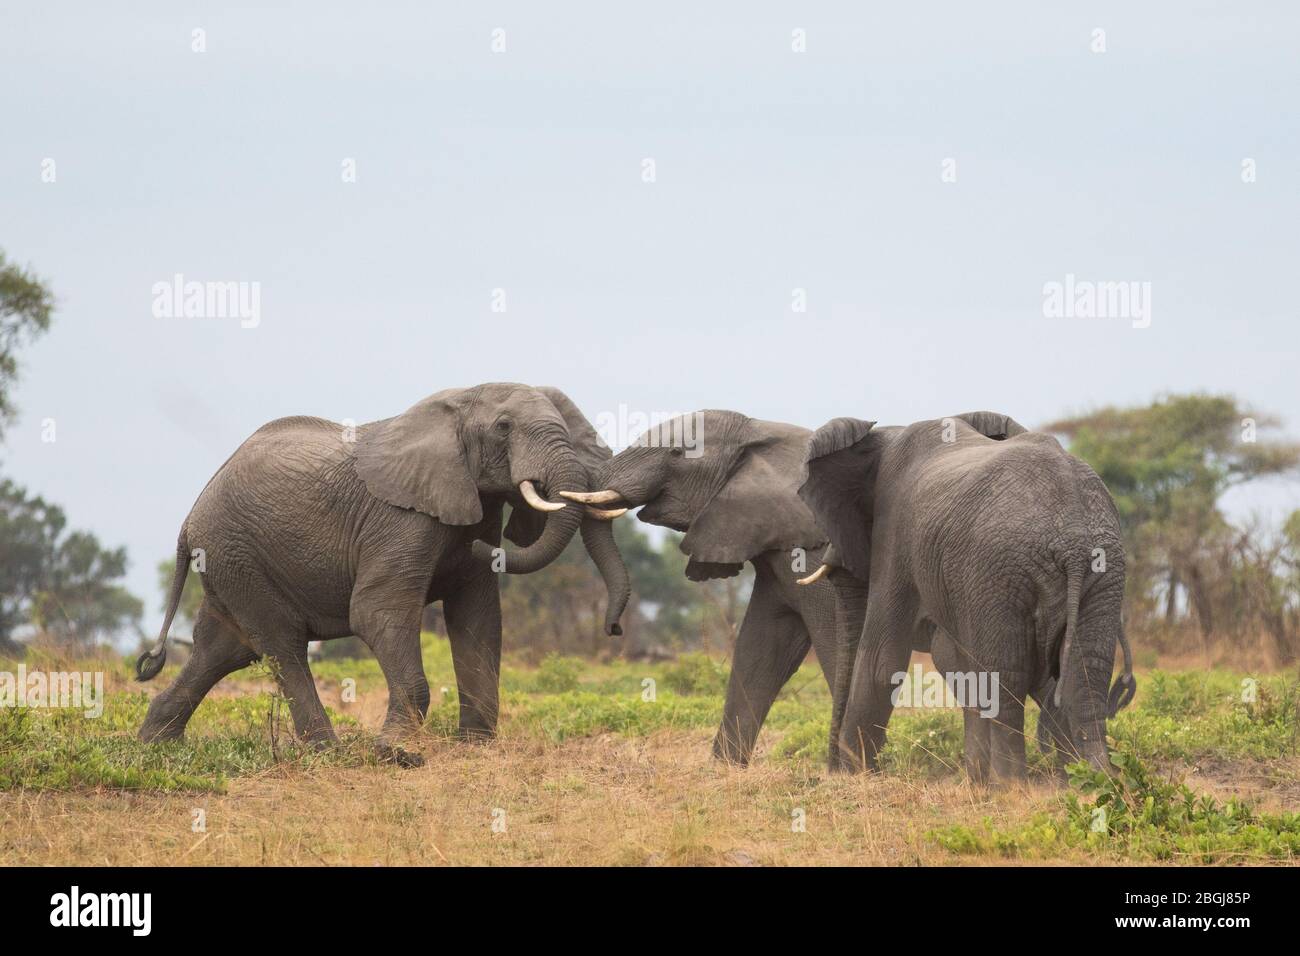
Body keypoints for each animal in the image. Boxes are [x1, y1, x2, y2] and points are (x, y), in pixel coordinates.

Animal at [134, 382, 631, 764]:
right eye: (504, 427)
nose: (614, 629)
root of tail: (189, 519)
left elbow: (478, 617)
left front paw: (475, 746)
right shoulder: (400, 520)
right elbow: (376, 612)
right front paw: (397, 754)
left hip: (230, 562)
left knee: (223, 648)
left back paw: (156, 744)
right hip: (236, 553)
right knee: (281, 644)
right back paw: (329, 754)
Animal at [559, 408, 1024, 764]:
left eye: (677, 453)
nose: (615, 629)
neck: (759, 434)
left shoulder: (811, 547)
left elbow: (833, 647)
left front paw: (842, 770)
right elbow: (759, 652)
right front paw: (723, 771)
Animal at [795, 416, 1133, 780]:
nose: (830, 770)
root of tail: (1072, 538)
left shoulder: (895, 531)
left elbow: (881, 661)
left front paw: (855, 776)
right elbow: (956, 661)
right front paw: (975, 778)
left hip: (999, 569)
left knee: (1007, 672)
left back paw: (1012, 784)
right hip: (1103, 569)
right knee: (1087, 668)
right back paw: (1094, 777)